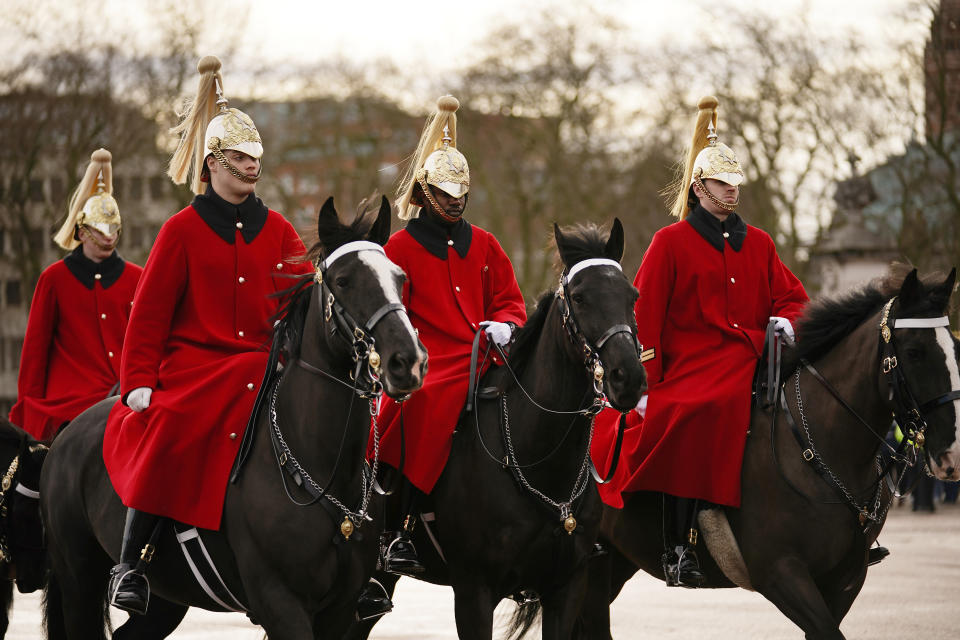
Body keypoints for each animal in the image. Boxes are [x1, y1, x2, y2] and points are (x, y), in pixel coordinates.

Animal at [38, 196, 428, 640]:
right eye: (344, 280)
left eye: (399, 278)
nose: (407, 361)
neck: (320, 469)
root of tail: (68, 433)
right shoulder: (280, 603)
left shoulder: (341, 611)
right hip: (79, 581)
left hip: (167, 599)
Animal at [350, 220, 644, 640]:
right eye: (580, 297)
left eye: (631, 295)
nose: (628, 378)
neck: (538, 458)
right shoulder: (474, 591)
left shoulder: (566, 588)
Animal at [576, 266, 960, 640]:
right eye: (914, 352)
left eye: (955, 348)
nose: (951, 455)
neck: (815, 449)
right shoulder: (781, 573)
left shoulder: (845, 579)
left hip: (611, 561)